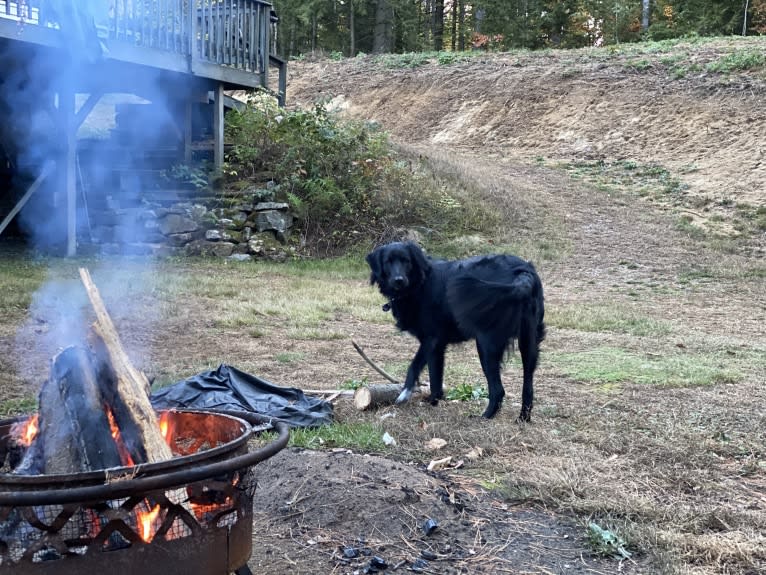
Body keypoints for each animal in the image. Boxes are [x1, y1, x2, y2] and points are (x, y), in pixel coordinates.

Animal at [366, 241, 544, 420]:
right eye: (388, 262)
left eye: (406, 261)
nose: (399, 280)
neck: (420, 283)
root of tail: (522, 272)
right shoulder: (437, 346)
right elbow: (435, 376)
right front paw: (433, 401)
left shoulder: (431, 338)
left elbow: (414, 366)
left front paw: (405, 393)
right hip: (529, 342)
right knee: (528, 387)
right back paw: (523, 418)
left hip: (486, 344)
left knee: (498, 389)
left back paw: (485, 416)